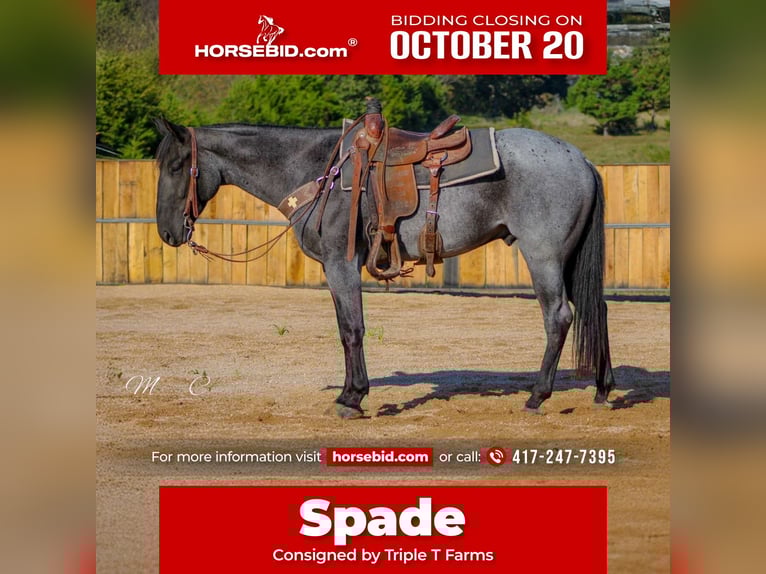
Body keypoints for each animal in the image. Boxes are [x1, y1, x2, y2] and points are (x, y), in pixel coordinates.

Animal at [154, 116, 615, 418]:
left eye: (176, 166)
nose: (167, 232)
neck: (317, 171)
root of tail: (581, 160)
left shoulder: (341, 264)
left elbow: (352, 329)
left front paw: (352, 398)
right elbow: (345, 329)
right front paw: (349, 393)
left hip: (543, 256)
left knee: (559, 317)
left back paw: (538, 396)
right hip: (568, 258)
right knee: (597, 309)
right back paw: (603, 389)